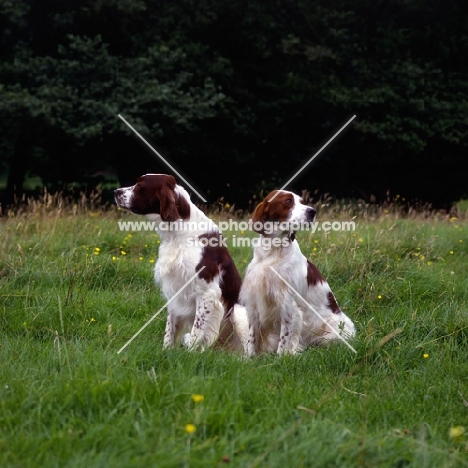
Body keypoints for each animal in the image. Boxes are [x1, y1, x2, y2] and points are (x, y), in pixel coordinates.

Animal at [114, 175, 249, 352]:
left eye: (140, 187)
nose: (116, 192)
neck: (178, 235)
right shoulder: (174, 289)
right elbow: (170, 329)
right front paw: (166, 350)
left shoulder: (207, 292)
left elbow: (197, 330)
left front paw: (191, 354)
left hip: (239, 312)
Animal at [239, 190, 352, 354]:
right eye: (288, 201)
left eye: (302, 201)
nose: (312, 211)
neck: (272, 251)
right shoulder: (254, 301)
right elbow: (252, 337)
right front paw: (249, 357)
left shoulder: (288, 304)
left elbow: (285, 339)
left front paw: (281, 357)